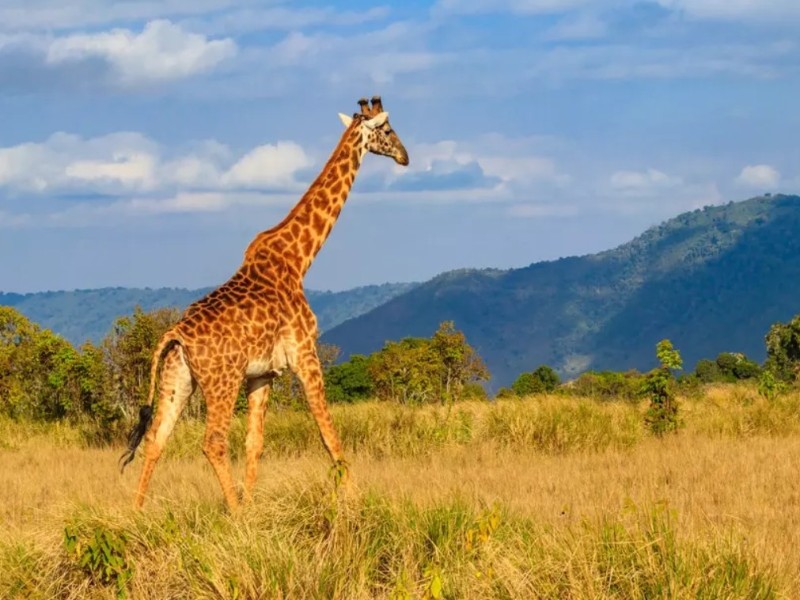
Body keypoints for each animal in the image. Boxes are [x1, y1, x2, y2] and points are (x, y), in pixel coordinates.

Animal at [120, 96, 409, 511]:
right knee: (212, 442)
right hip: (221, 382)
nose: (405, 156)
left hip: (178, 380)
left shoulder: (263, 373)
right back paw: (233, 513)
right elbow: (329, 434)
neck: (298, 258)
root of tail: (175, 334)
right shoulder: (305, 354)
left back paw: (135, 513)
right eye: (387, 128)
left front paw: (254, 506)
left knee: (156, 439)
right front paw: (356, 501)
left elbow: (255, 443)